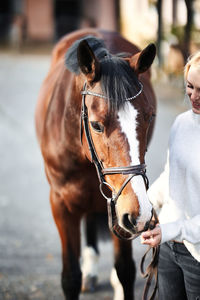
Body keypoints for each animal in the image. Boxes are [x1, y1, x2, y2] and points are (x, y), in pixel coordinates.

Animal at [34, 28, 156, 300]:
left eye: (149, 117)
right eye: (96, 125)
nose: (141, 213)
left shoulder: (121, 205)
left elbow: (125, 270)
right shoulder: (60, 203)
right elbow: (70, 277)